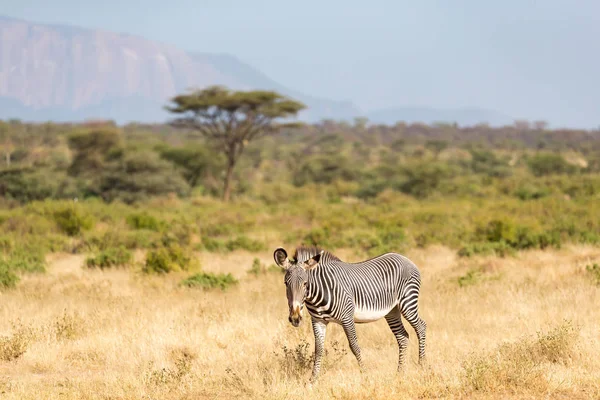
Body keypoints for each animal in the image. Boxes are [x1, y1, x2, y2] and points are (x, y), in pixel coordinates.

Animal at [274, 245, 424, 382]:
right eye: (286, 283)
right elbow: (319, 349)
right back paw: (400, 373)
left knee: (421, 327)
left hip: (407, 303)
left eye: (305, 284)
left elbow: (354, 346)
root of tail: (403, 257)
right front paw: (313, 380)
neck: (318, 294)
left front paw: (365, 376)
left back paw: (422, 366)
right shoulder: (318, 320)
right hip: (392, 311)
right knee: (402, 337)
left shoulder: (347, 318)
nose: (295, 318)